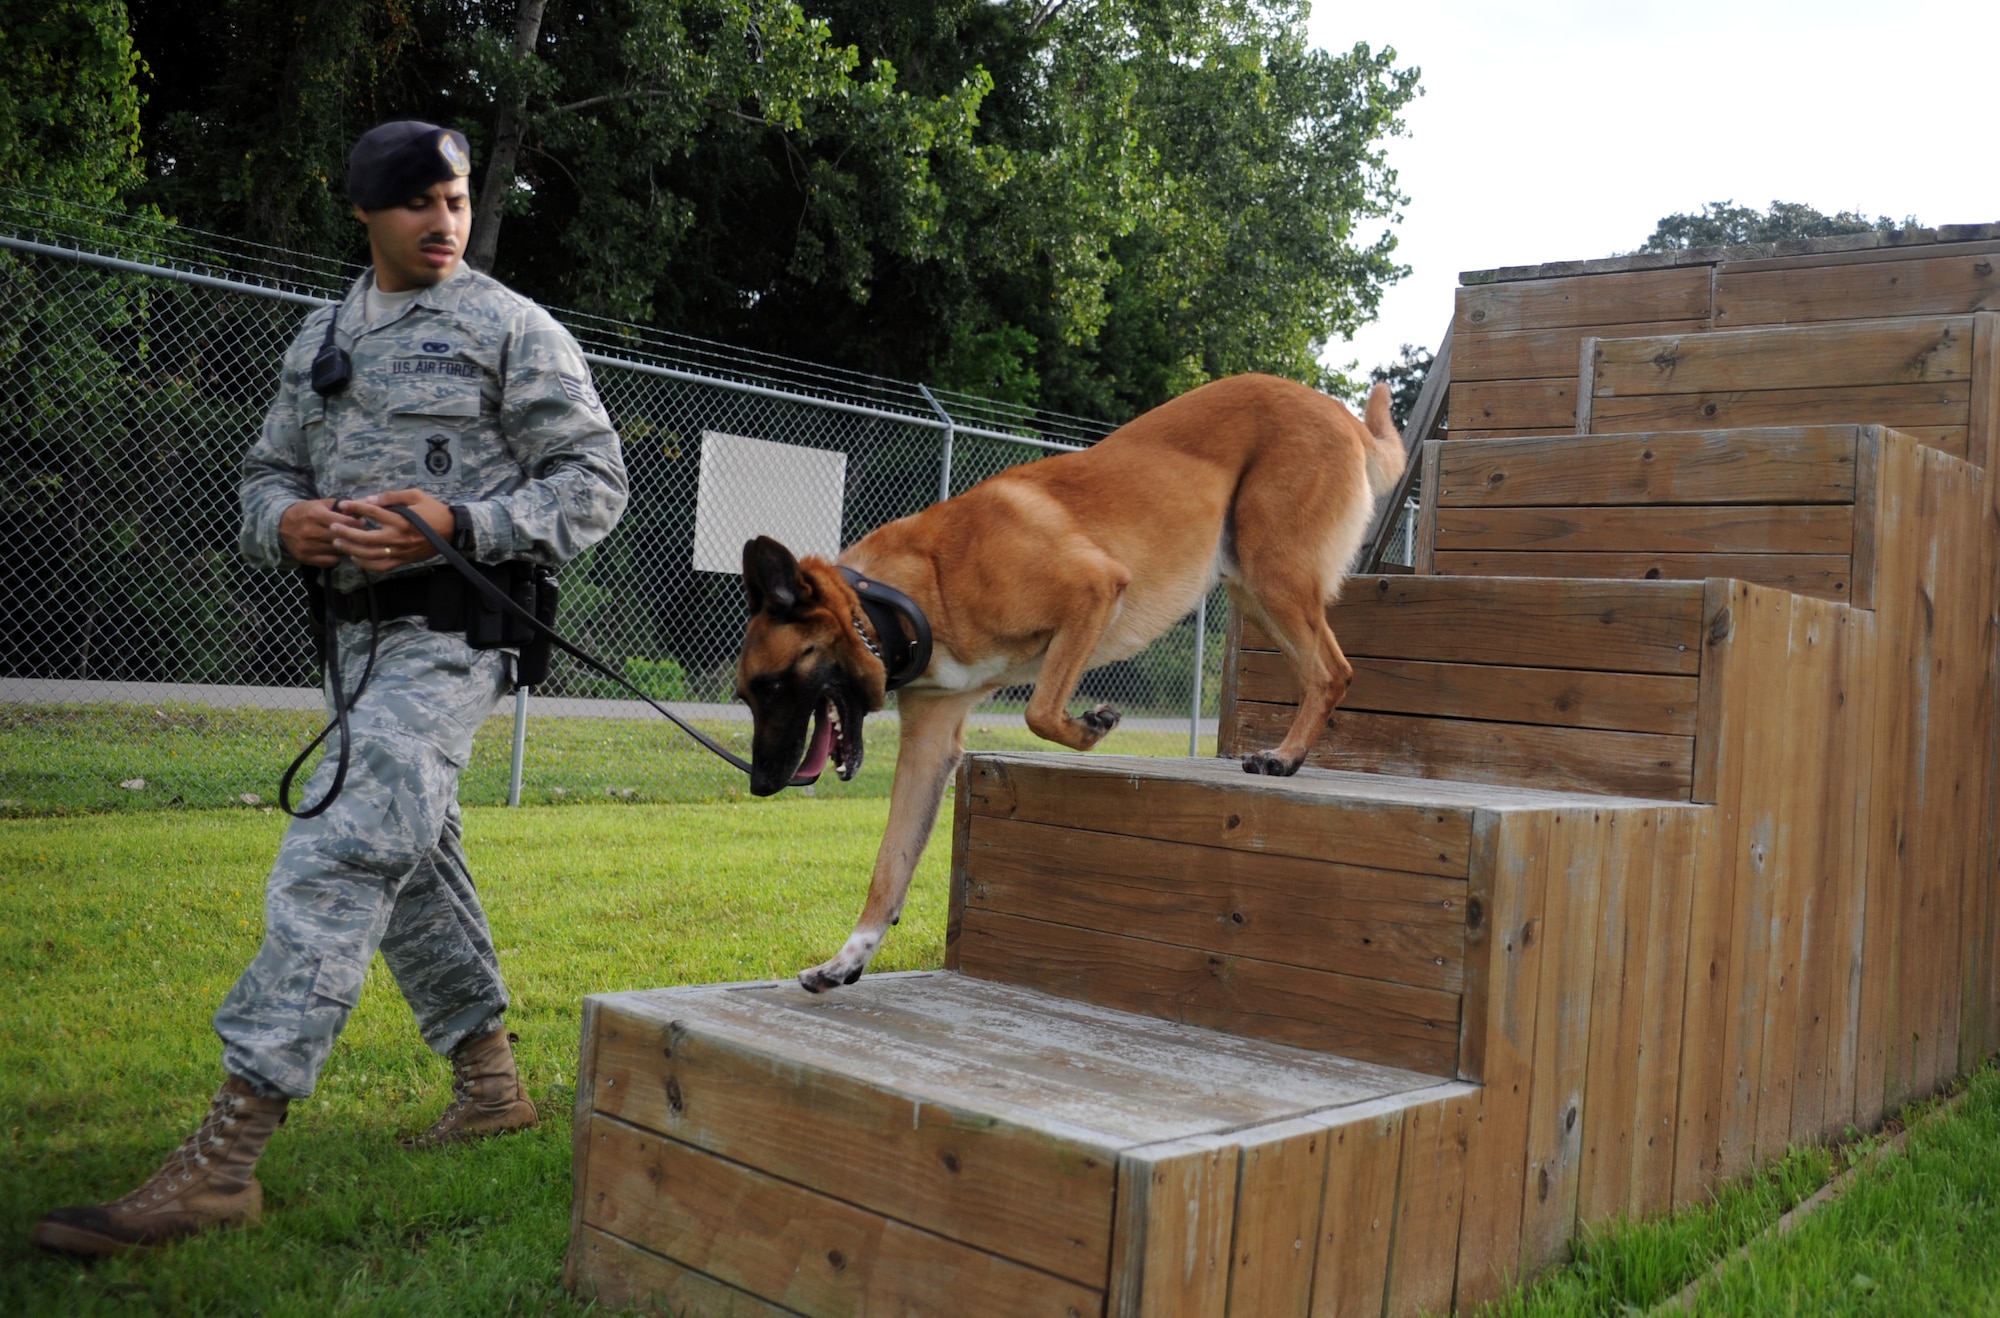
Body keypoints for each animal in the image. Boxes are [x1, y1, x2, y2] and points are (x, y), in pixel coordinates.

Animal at [736, 372, 1408, 992]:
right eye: (746, 696)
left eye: (773, 688)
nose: (763, 786)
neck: (904, 596)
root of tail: (1339, 413)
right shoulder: (929, 742)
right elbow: (890, 863)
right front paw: (850, 957)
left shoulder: (1092, 589)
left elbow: (1038, 711)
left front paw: (1091, 727)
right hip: (1250, 581)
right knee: (1327, 669)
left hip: (1272, 569)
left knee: (1334, 671)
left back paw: (1286, 757)